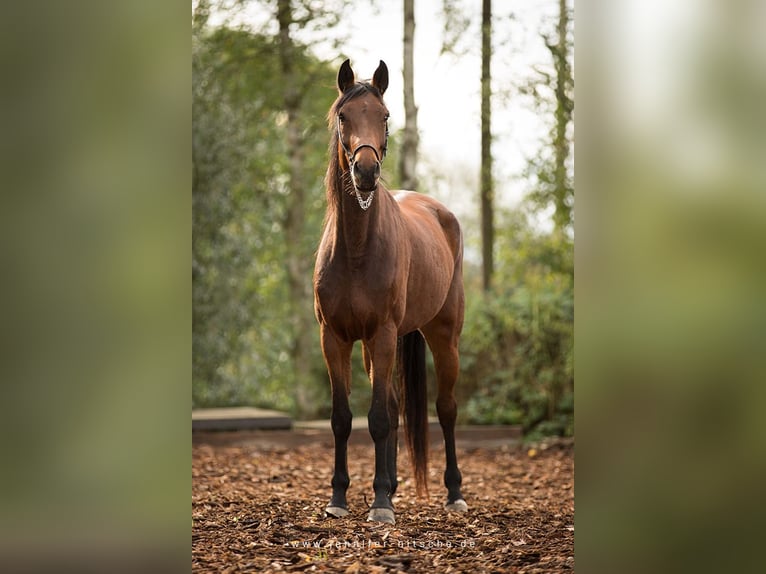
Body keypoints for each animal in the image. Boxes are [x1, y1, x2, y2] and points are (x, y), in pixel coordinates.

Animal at [312, 59, 468, 528]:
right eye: (344, 116)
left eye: (383, 116)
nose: (365, 172)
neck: (356, 249)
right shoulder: (336, 339)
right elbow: (343, 418)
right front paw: (340, 498)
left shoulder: (381, 334)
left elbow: (378, 418)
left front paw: (379, 504)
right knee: (398, 406)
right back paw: (395, 487)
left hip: (443, 337)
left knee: (446, 408)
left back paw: (453, 493)